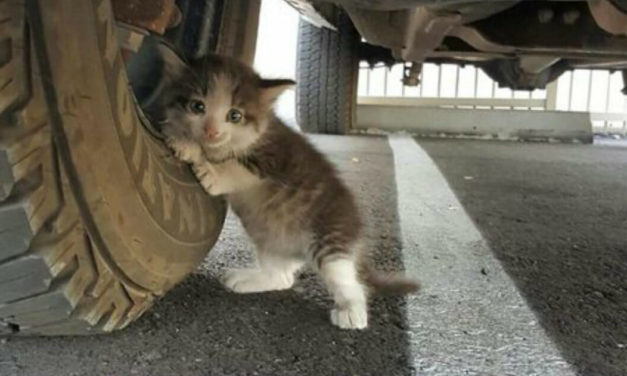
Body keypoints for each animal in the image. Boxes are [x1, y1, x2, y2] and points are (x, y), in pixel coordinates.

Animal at [155, 46, 420, 328]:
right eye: (197, 106)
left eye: (234, 115)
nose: (212, 132)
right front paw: (182, 138)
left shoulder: (276, 157)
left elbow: (234, 167)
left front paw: (202, 159)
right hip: (269, 239)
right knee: (282, 278)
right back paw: (249, 279)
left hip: (330, 238)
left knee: (346, 278)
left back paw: (352, 311)